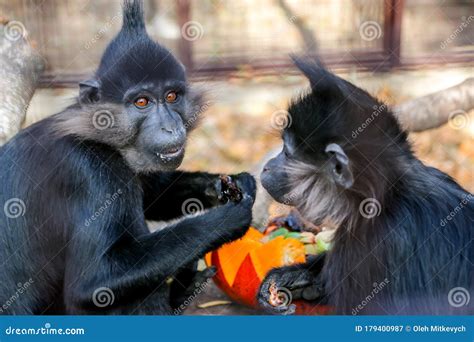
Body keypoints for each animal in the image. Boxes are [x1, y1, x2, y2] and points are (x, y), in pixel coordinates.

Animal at [0, 0, 256, 316]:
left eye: (171, 97)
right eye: (142, 102)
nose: (170, 126)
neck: (101, 139)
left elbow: (153, 195)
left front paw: (228, 185)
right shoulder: (90, 172)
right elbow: (94, 281)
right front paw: (227, 218)